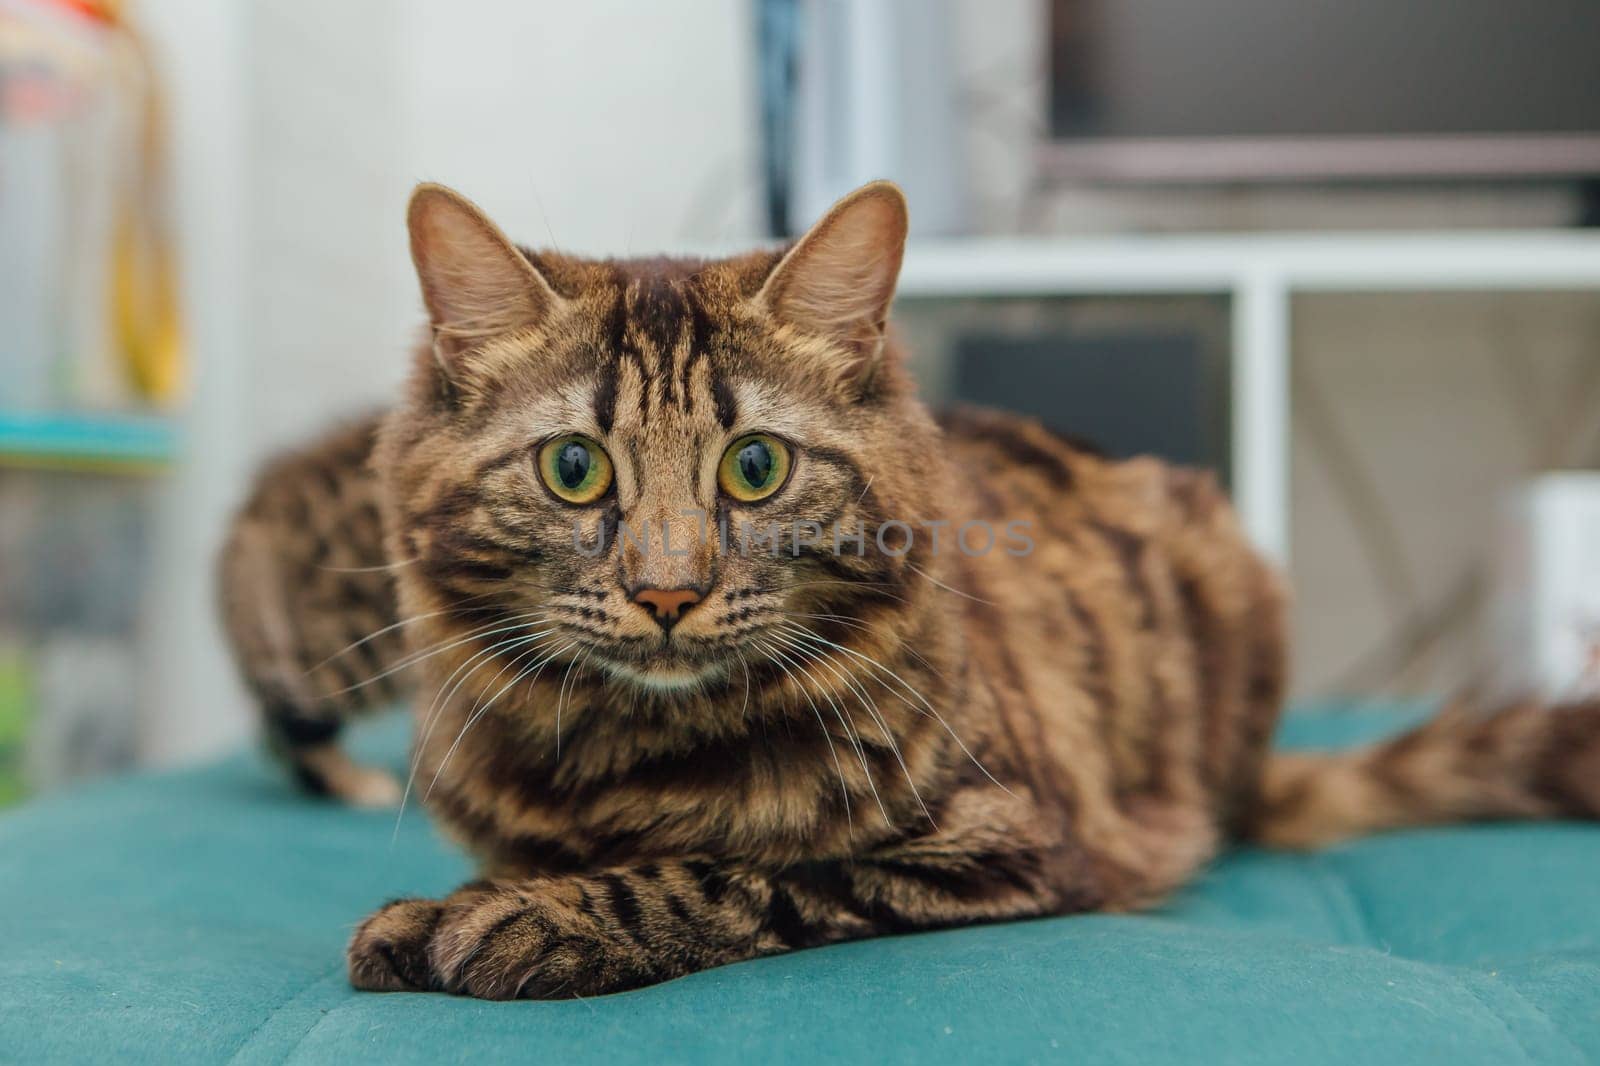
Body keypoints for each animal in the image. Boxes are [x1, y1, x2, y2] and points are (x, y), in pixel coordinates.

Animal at [222, 176, 1600, 998]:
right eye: (574, 470)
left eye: (755, 466)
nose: (667, 590)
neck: (632, 758)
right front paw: (454, 903)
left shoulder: (1004, 840)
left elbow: (734, 870)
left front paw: (532, 917)